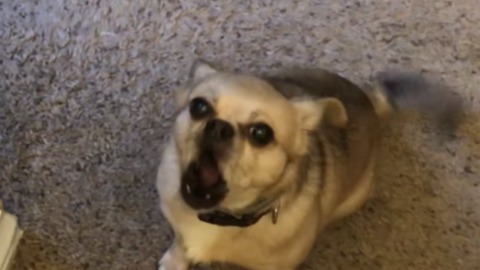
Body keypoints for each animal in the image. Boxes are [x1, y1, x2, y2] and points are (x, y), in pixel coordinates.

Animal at [155, 59, 462, 270]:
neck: (220, 218)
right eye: (199, 107)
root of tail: (369, 102)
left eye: (261, 134)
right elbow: (180, 245)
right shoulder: (180, 229)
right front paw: (174, 262)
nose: (218, 127)